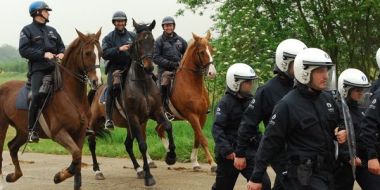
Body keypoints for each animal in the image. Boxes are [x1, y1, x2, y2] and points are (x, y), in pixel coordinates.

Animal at [0, 28, 102, 190]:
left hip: (22, 131)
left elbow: (78, 160)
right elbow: (76, 155)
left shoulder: (80, 133)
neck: (71, 96)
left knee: (12, 147)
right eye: (87, 53)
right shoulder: (59, 132)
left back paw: (13, 176)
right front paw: (58, 176)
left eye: (101, 53)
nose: (96, 81)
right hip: (3, 126)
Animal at [87, 19, 176, 187]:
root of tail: (96, 90)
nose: (149, 67)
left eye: (152, 41)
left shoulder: (156, 112)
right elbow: (142, 144)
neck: (141, 83)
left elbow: (167, 126)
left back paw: (138, 169)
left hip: (129, 126)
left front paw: (171, 156)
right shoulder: (134, 117)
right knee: (91, 142)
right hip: (95, 122)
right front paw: (149, 177)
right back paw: (97, 171)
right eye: (139, 42)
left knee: (127, 145)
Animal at [154, 31, 218, 172]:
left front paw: (195, 162)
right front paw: (213, 163)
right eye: (202, 52)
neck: (192, 85)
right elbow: (202, 138)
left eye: (211, 50)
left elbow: (197, 138)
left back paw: (169, 154)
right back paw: (151, 161)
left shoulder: (202, 116)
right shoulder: (191, 115)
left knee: (159, 130)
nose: (212, 73)